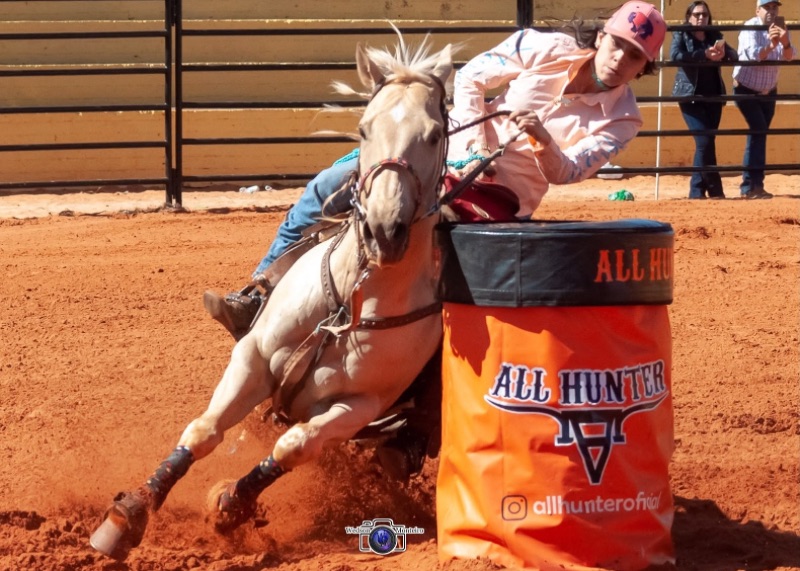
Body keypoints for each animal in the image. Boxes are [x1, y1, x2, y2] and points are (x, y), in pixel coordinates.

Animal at [90, 33, 454, 560]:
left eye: (433, 135)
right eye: (364, 129)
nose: (384, 230)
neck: (354, 297)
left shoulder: (357, 408)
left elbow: (291, 448)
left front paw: (229, 505)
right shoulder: (255, 356)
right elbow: (204, 430)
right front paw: (130, 513)